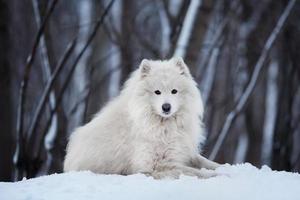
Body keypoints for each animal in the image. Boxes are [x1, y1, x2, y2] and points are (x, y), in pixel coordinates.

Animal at [64, 57, 220, 179]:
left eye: (174, 91)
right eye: (157, 92)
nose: (166, 107)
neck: (163, 125)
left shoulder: (183, 151)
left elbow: (205, 161)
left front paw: (221, 168)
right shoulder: (156, 165)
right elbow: (193, 171)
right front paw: (213, 175)